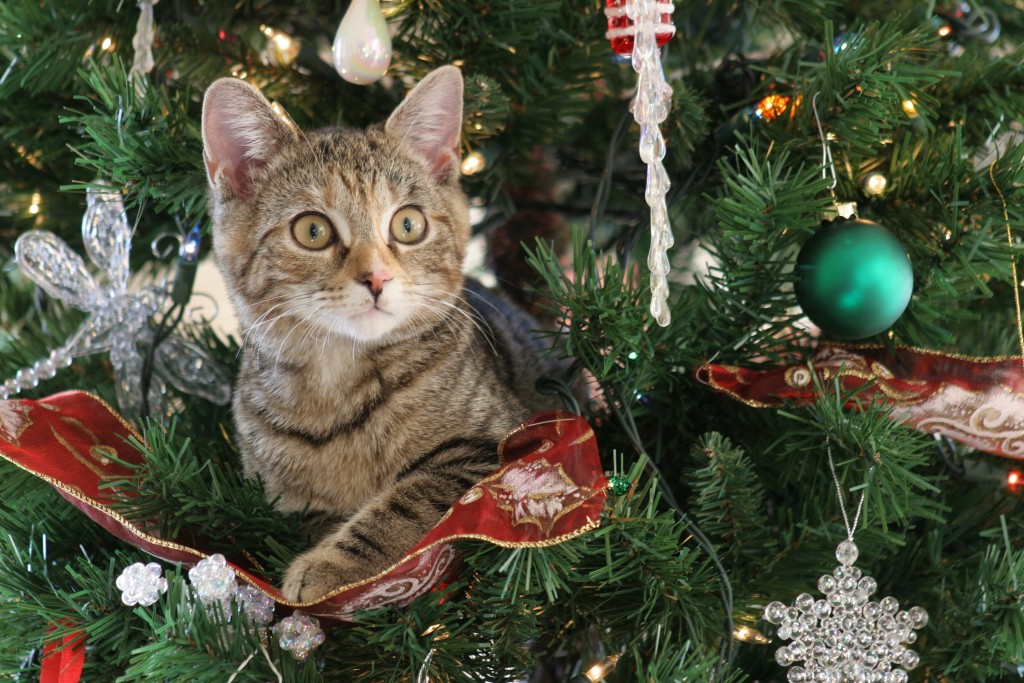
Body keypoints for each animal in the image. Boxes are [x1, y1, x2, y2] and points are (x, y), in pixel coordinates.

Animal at [200, 66, 561, 602]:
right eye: (312, 231)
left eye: (408, 224)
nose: (377, 278)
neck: (337, 382)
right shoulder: (278, 498)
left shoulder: (499, 446)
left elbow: (409, 499)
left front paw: (332, 563)